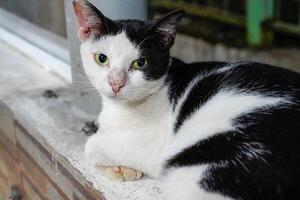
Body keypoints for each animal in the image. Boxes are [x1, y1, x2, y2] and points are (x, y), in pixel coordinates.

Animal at [73, 0, 300, 199]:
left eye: (140, 63)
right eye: (102, 58)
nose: (116, 84)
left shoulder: (153, 148)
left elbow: (92, 145)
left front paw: (120, 167)